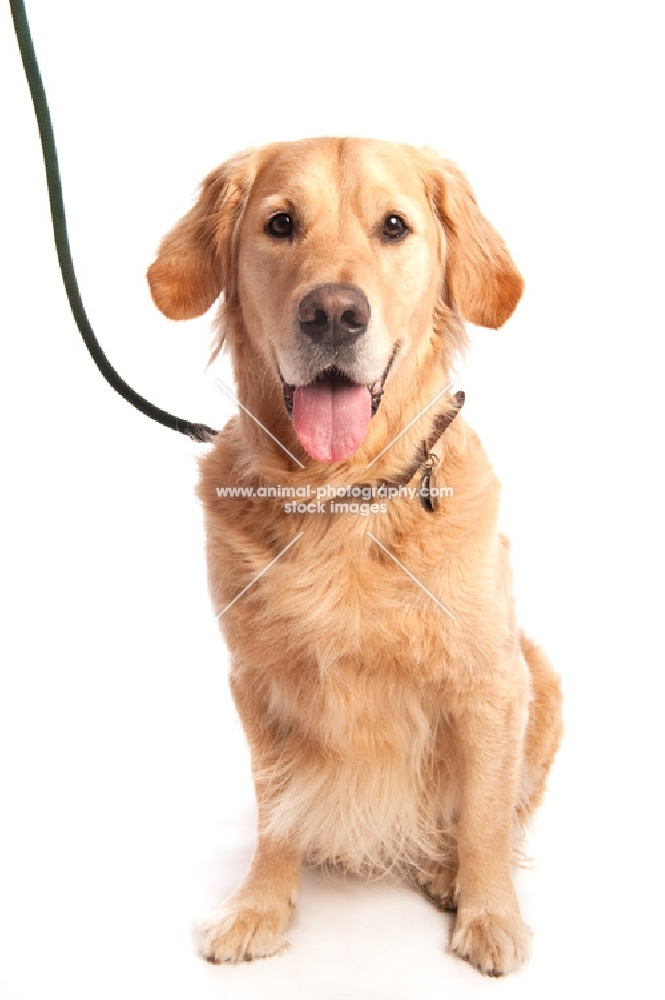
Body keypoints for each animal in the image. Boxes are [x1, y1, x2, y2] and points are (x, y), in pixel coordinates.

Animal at [145, 137, 560, 972]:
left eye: (393, 226)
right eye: (279, 223)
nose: (332, 314)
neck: (338, 497)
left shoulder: (489, 681)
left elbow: (485, 814)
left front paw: (489, 913)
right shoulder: (257, 681)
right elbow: (275, 808)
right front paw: (260, 906)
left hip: (542, 678)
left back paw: (446, 870)